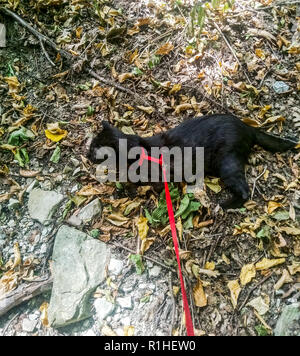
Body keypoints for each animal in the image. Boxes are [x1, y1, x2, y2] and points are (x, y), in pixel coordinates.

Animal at [87, 114, 298, 209]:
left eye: (95, 148)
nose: (87, 154)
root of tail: (247, 126)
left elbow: (134, 185)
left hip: (227, 164)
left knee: (245, 192)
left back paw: (224, 205)